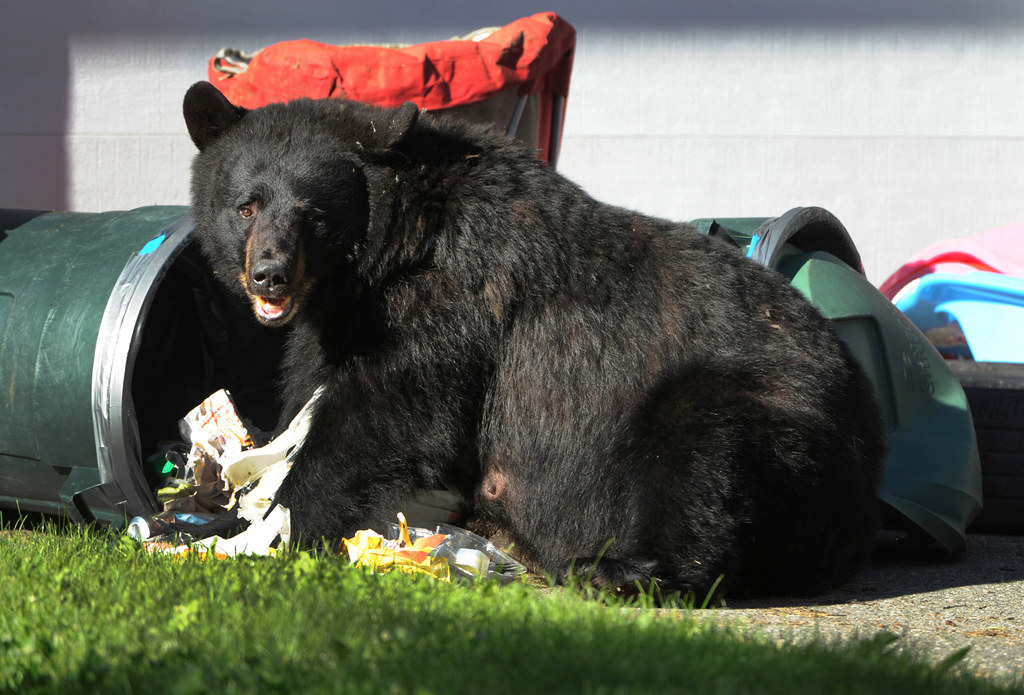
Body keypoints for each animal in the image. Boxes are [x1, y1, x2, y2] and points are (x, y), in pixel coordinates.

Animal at [186, 78, 888, 593]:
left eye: (313, 214)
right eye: (246, 205)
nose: (271, 273)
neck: (388, 251)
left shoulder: (454, 301)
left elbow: (381, 412)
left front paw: (274, 526)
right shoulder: (339, 320)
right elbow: (307, 389)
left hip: (762, 407)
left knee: (705, 466)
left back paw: (620, 570)